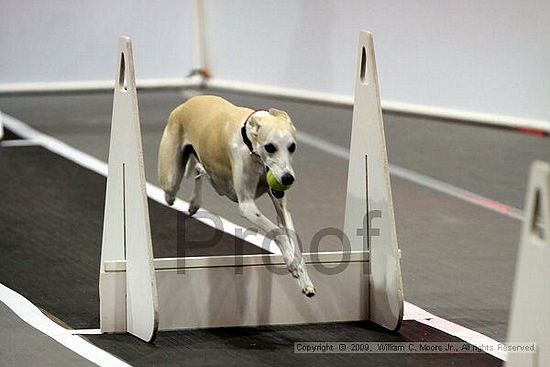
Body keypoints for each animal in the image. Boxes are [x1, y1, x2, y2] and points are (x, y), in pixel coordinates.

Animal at [157, 95, 316, 296]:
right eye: (270, 147)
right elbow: (277, 231)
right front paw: (292, 264)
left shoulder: (282, 207)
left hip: (216, 180)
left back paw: (194, 203)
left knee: (200, 168)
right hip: (171, 179)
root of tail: (187, 103)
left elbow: (292, 237)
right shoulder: (247, 206)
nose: (288, 179)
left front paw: (305, 280)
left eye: (292, 147)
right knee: (173, 190)